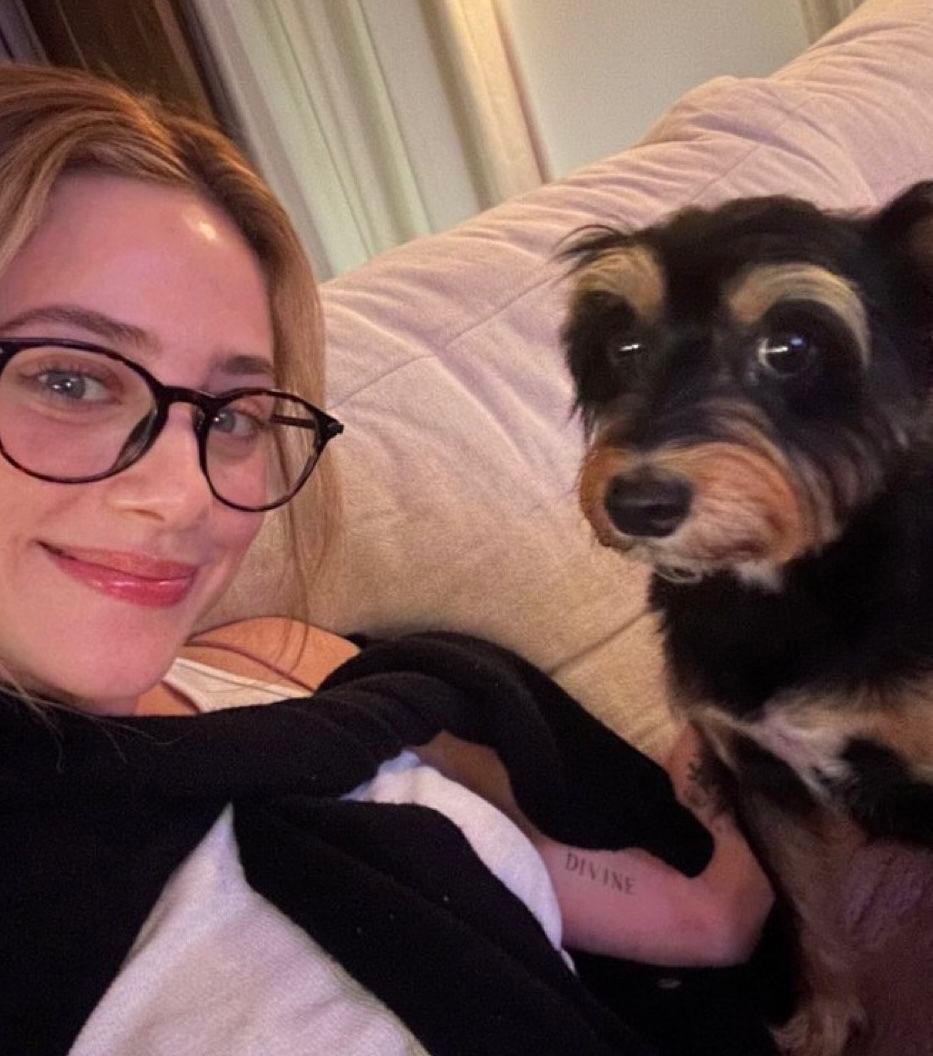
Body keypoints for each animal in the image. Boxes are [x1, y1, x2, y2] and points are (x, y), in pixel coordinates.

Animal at [560, 183, 933, 1056]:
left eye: (791, 346)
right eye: (623, 345)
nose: (637, 504)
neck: (785, 592)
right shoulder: (761, 780)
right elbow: (808, 918)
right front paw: (822, 1024)